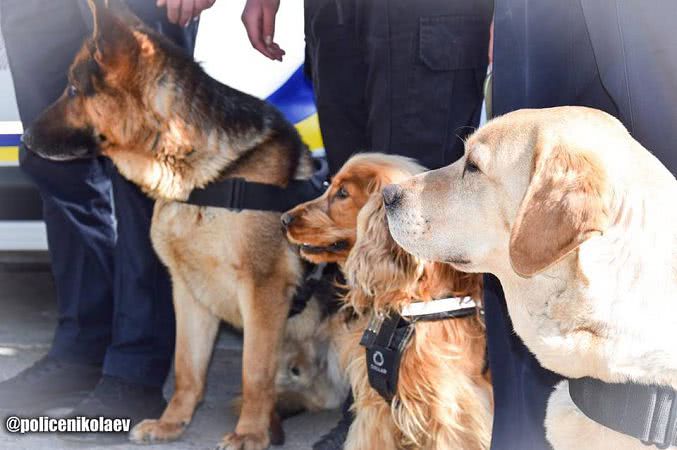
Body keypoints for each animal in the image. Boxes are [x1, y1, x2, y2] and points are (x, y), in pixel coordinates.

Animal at [21, 1, 314, 448]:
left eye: (72, 89)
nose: (23, 140)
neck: (205, 177)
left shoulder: (263, 290)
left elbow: (254, 371)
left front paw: (250, 432)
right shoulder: (187, 292)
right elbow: (186, 368)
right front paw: (172, 423)